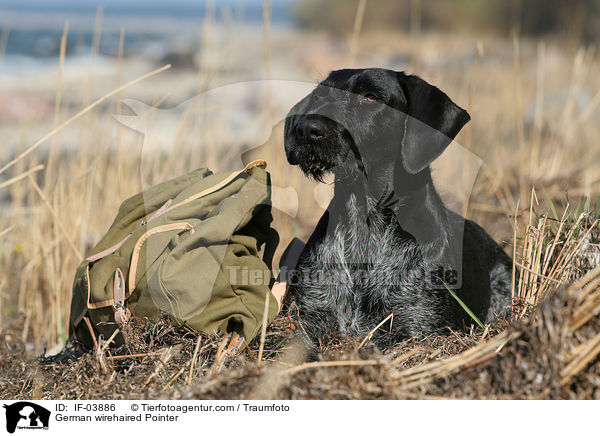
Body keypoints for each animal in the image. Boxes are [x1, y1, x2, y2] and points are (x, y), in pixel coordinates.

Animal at [284, 69, 512, 354]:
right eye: (320, 95)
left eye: (371, 97)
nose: (307, 128)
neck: (365, 218)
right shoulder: (303, 322)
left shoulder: (417, 327)